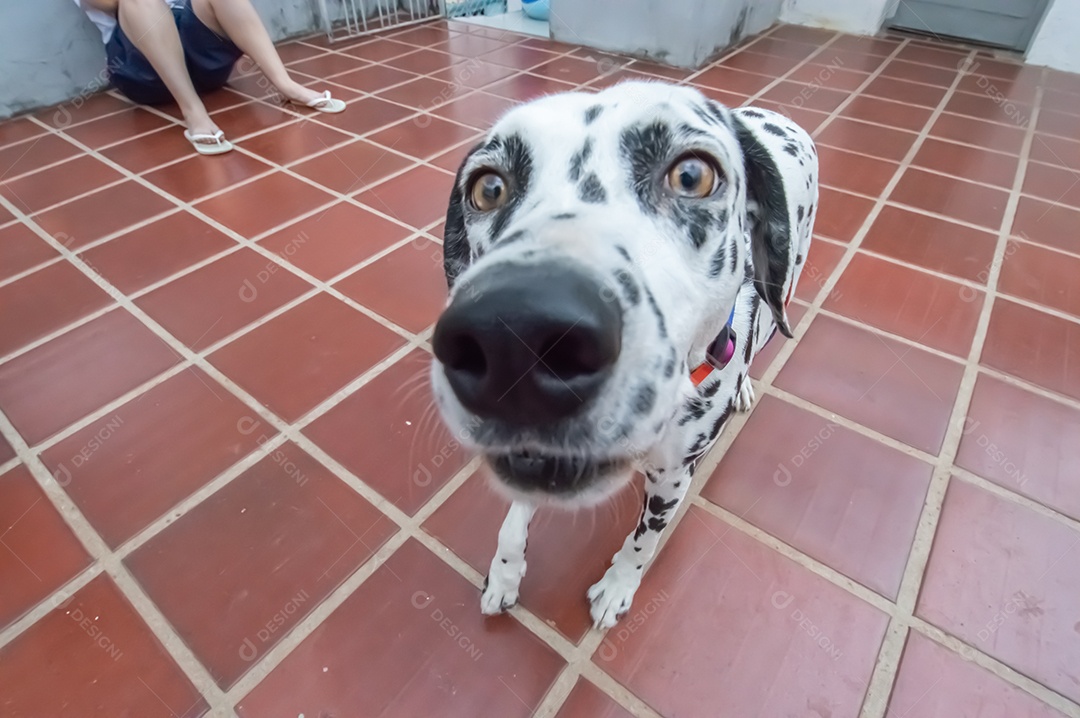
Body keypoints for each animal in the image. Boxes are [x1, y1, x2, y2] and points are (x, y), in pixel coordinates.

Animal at [429, 79, 816, 626]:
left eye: (692, 176)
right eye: (487, 188)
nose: (514, 337)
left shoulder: (673, 477)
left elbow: (643, 542)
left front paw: (617, 587)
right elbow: (511, 521)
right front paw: (504, 573)